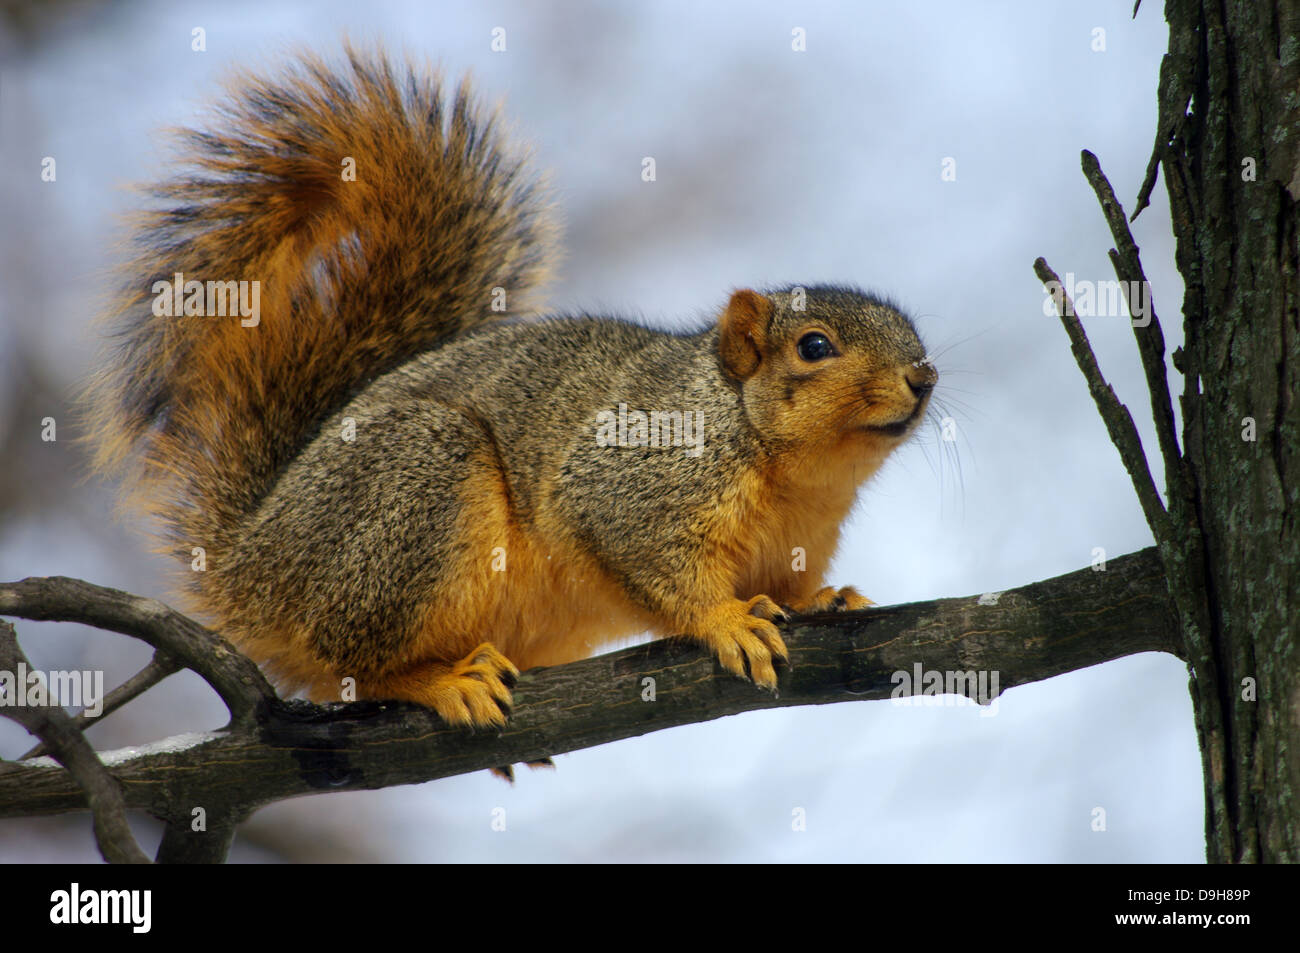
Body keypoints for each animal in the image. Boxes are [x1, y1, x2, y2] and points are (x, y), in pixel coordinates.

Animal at [86, 46, 938, 730]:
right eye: (814, 346)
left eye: (914, 335)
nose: (923, 377)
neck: (790, 469)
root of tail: (250, 561)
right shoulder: (639, 478)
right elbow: (652, 558)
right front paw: (727, 620)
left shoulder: (799, 538)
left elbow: (791, 583)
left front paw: (821, 600)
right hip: (414, 493)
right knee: (354, 655)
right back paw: (441, 679)